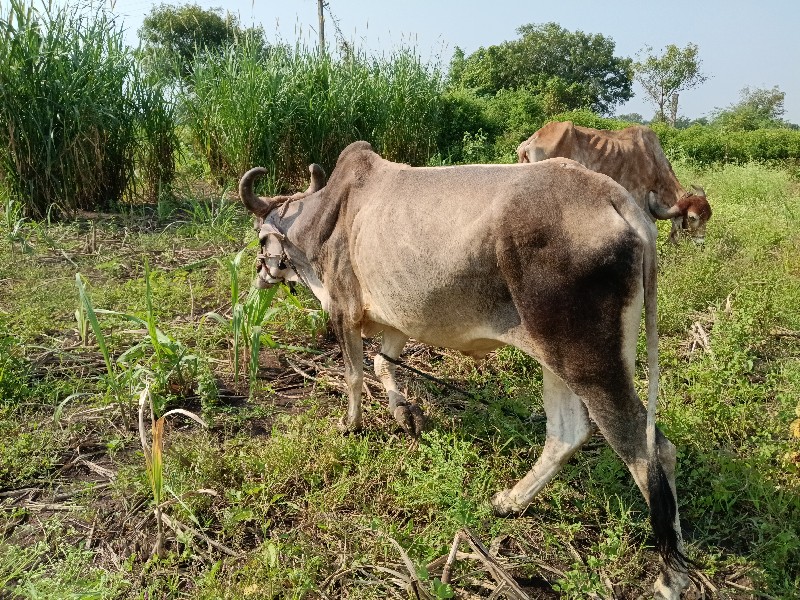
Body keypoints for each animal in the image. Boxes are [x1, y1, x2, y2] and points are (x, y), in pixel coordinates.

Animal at [241, 142, 692, 600]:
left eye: (261, 238)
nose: (258, 274)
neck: (326, 217)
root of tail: (616, 198)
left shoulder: (341, 309)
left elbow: (354, 374)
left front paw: (350, 425)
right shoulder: (398, 322)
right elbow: (382, 364)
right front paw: (406, 415)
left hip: (591, 365)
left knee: (649, 451)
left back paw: (671, 576)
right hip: (556, 358)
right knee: (568, 433)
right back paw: (511, 502)